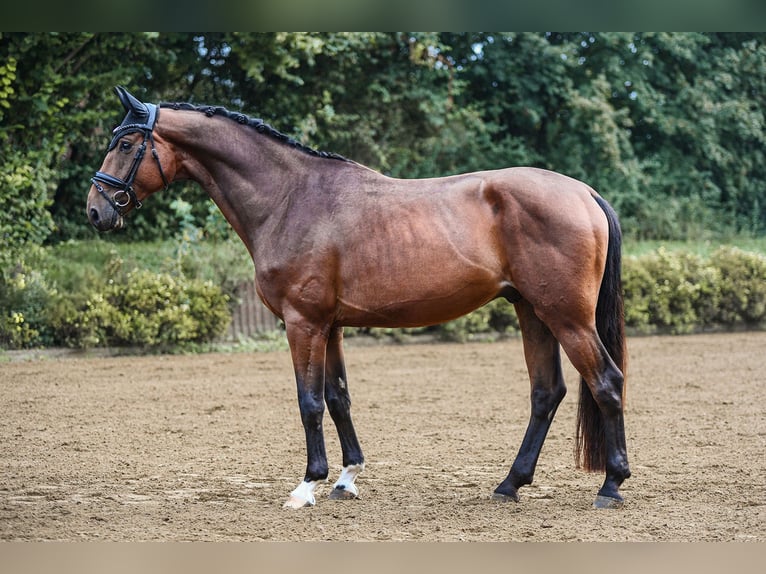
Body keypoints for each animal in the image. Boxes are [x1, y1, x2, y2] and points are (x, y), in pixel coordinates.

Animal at [87, 85, 632, 508]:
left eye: (127, 142)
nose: (96, 209)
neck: (291, 197)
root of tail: (583, 193)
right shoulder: (330, 326)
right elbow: (338, 397)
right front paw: (347, 478)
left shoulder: (302, 322)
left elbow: (309, 401)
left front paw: (307, 485)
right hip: (532, 312)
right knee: (546, 393)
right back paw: (510, 484)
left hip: (566, 317)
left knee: (606, 382)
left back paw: (611, 485)